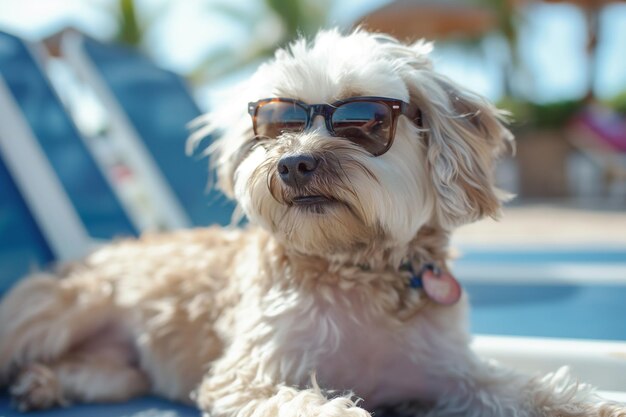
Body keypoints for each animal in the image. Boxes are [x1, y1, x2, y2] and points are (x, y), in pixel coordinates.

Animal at [1, 29, 624, 416]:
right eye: (277, 120)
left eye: (363, 120)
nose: (293, 162)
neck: (357, 267)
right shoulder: (247, 373)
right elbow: (306, 401)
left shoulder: (454, 375)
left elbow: (525, 387)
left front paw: (593, 403)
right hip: (62, 308)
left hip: (122, 368)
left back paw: (43, 382)